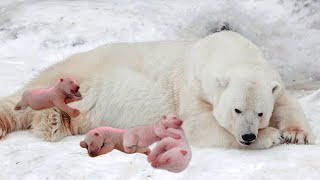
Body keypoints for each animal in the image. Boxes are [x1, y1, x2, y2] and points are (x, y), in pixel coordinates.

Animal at [0, 31, 314, 149]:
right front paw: (272, 136)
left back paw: (52, 120)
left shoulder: (268, 78)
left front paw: (296, 133)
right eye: (236, 110)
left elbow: (286, 100)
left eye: (260, 113)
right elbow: (200, 125)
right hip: (75, 74)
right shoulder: (191, 85)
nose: (249, 136)